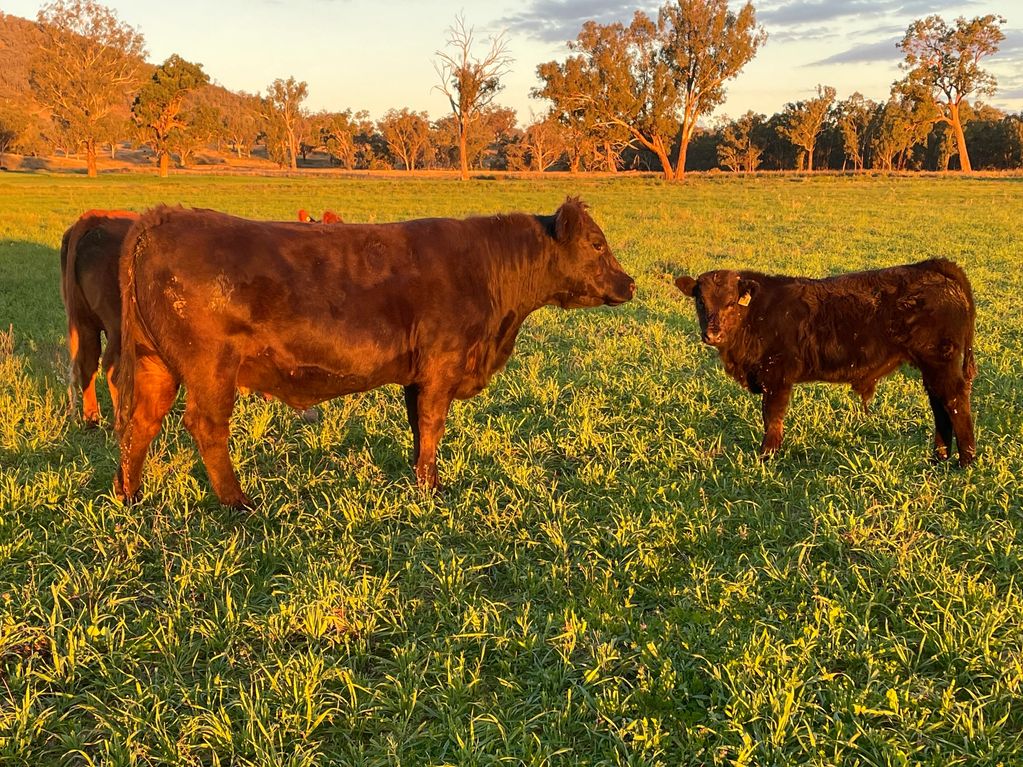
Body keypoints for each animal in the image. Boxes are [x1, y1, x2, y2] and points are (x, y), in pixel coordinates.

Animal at [59, 210, 138, 427]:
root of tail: (95, 216)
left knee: (88, 362)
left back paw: (92, 418)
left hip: (84, 321)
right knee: (114, 369)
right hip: (119, 327)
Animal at [116, 201, 634, 507]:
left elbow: (417, 426)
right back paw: (238, 503)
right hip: (210, 369)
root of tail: (164, 217)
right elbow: (432, 424)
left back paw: (130, 495)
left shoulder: (417, 376)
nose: (629, 283)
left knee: (139, 425)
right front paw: (432, 489)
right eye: (596, 243)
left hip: (155, 364)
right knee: (205, 427)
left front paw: (417, 476)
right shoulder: (441, 368)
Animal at [675, 261, 977, 468]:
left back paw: (965, 462)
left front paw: (767, 455)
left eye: (730, 302)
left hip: (941, 363)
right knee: (940, 406)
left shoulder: (776, 376)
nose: (712, 334)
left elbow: (772, 417)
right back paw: (939, 457)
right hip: (932, 368)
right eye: (700, 301)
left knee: (955, 402)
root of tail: (931, 266)